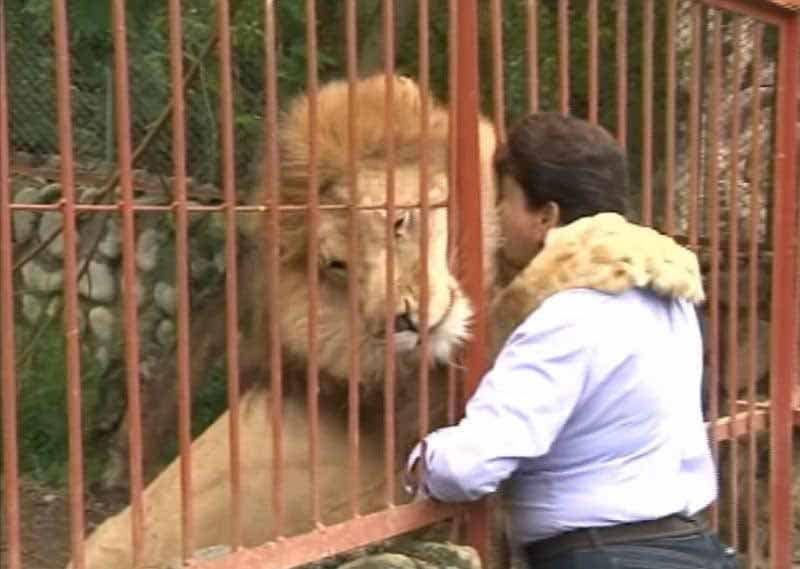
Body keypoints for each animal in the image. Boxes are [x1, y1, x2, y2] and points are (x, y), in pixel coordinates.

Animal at [72, 75, 704, 568]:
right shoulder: (426, 418)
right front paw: (616, 249)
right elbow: (511, 306)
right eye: (336, 266)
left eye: (401, 221)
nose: (398, 320)